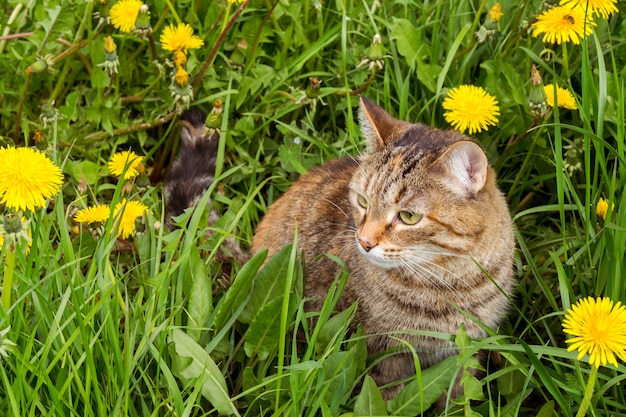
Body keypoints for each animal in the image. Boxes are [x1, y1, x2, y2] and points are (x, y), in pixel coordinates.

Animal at [163, 96, 516, 404]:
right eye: (362, 201)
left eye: (408, 217)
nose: (365, 242)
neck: (448, 282)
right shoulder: (381, 354)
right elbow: (387, 398)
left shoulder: (466, 349)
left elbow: (458, 394)